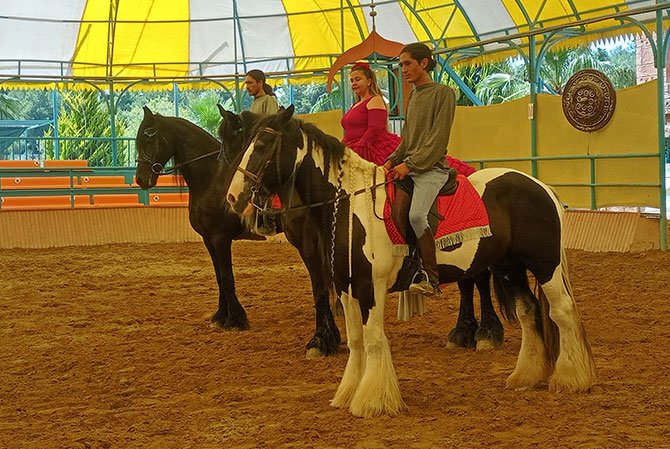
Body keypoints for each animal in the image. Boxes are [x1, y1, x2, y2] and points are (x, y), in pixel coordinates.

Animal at [134, 106, 340, 357]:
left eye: (148, 136)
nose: (141, 179)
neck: (210, 178)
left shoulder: (220, 238)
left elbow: (226, 276)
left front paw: (235, 320)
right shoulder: (209, 240)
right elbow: (219, 278)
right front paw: (221, 317)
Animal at [226, 105, 597, 418]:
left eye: (262, 145)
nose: (232, 196)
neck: (349, 204)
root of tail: (541, 187)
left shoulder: (370, 287)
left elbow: (373, 339)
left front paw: (373, 400)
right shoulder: (346, 288)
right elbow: (356, 341)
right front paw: (347, 393)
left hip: (545, 264)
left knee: (562, 312)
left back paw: (571, 378)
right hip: (510, 268)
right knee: (528, 312)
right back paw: (526, 376)